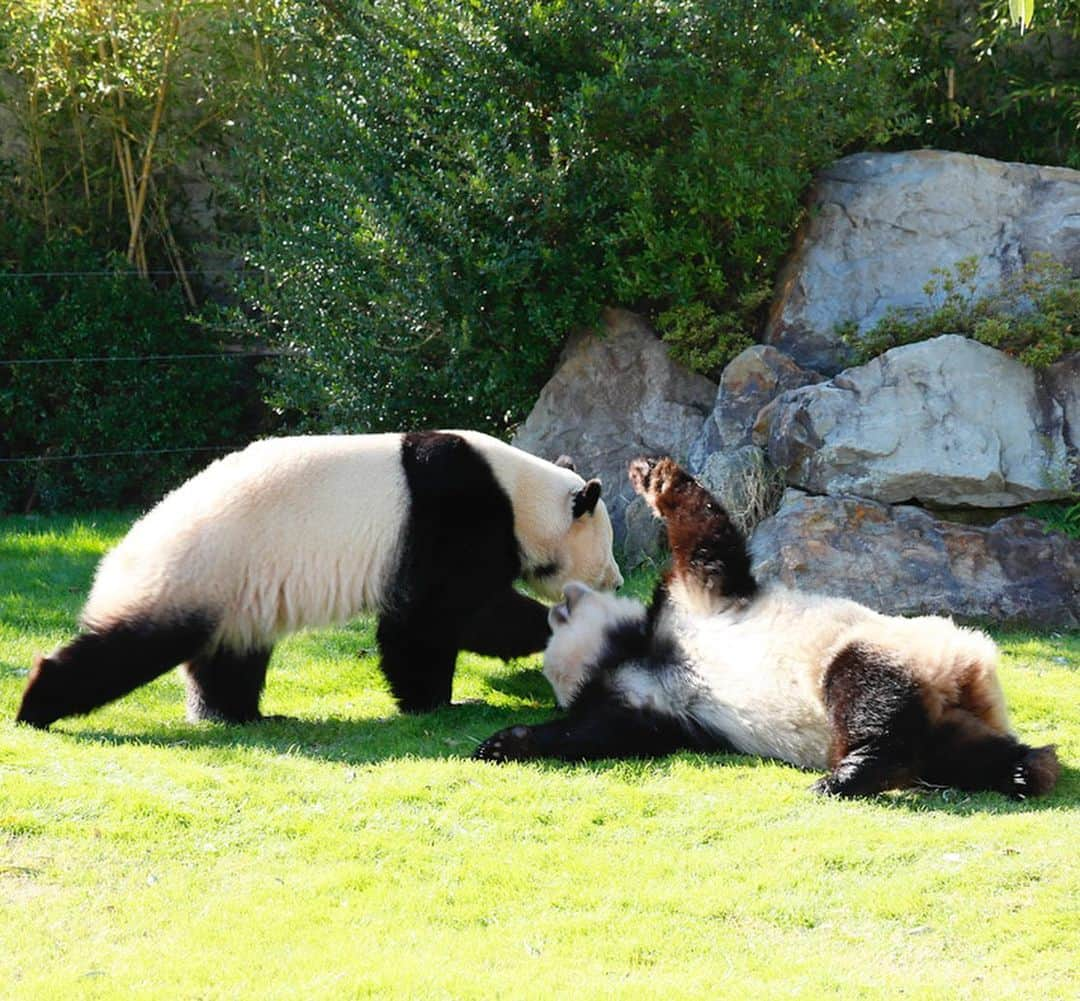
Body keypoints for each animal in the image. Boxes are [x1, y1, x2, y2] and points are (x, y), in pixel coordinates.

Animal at [14, 429, 626, 729]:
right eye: (608, 553)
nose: (618, 581)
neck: (520, 492)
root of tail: (124, 548)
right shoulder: (450, 511)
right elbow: (444, 614)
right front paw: (440, 702)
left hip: (240, 589)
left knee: (229, 656)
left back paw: (239, 716)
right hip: (198, 570)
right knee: (132, 646)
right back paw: (37, 703)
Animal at [477, 457, 1058, 803]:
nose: (565, 600)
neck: (643, 650)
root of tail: (967, 677)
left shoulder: (696, 600)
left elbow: (706, 538)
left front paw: (652, 475)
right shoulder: (651, 705)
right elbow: (599, 734)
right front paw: (504, 744)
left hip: (889, 647)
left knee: (866, 692)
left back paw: (848, 774)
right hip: (941, 706)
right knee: (956, 748)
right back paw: (1025, 769)